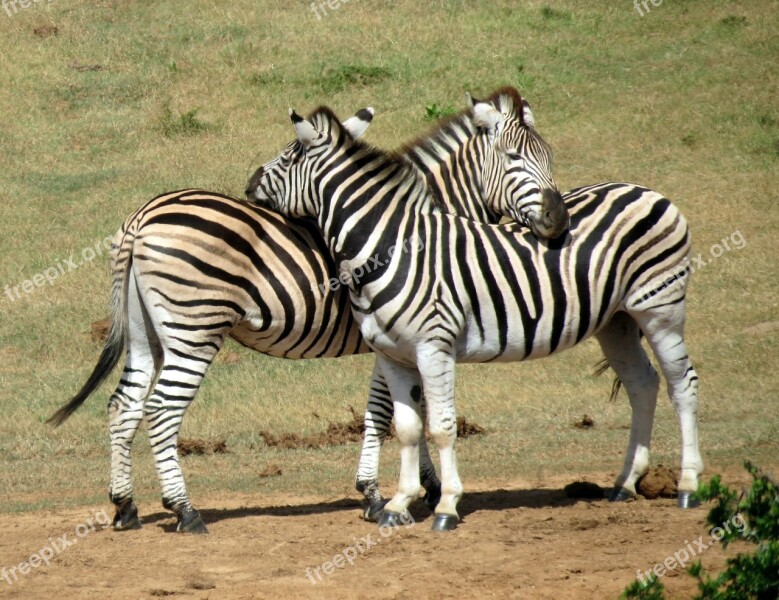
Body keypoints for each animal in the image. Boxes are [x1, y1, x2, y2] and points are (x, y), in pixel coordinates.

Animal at [48, 92, 568, 536]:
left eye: (550, 158)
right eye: (515, 159)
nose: (558, 222)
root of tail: (142, 217)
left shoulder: (402, 338)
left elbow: (411, 407)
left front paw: (421, 487)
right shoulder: (397, 335)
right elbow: (385, 411)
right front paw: (380, 495)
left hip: (146, 333)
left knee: (124, 406)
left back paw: (126, 507)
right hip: (194, 328)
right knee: (161, 409)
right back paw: (185, 511)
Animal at [248, 105, 708, 532]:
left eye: (287, 157)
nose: (250, 182)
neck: (391, 246)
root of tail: (647, 191)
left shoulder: (433, 348)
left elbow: (441, 426)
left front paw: (444, 505)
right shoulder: (392, 355)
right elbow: (407, 427)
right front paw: (397, 504)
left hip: (660, 308)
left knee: (681, 383)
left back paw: (687, 485)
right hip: (616, 321)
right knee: (642, 384)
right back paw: (626, 483)